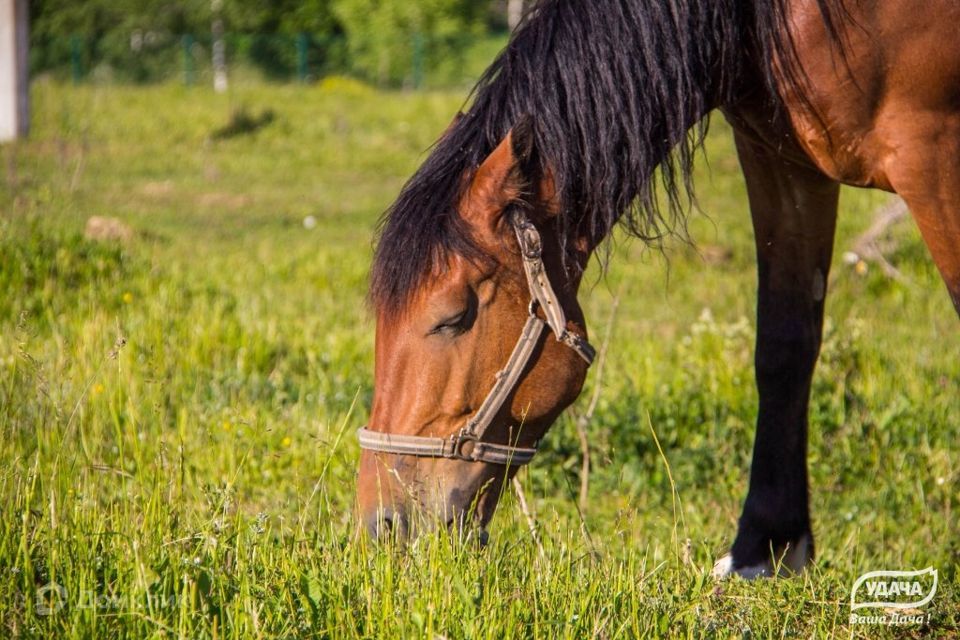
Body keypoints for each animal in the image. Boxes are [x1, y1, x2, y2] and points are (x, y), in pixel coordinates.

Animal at [354, 0, 960, 580]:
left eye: (453, 317)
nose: (381, 525)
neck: (761, 20)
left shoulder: (932, 152)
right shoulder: (781, 161)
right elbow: (784, 347)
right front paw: (764, 548)